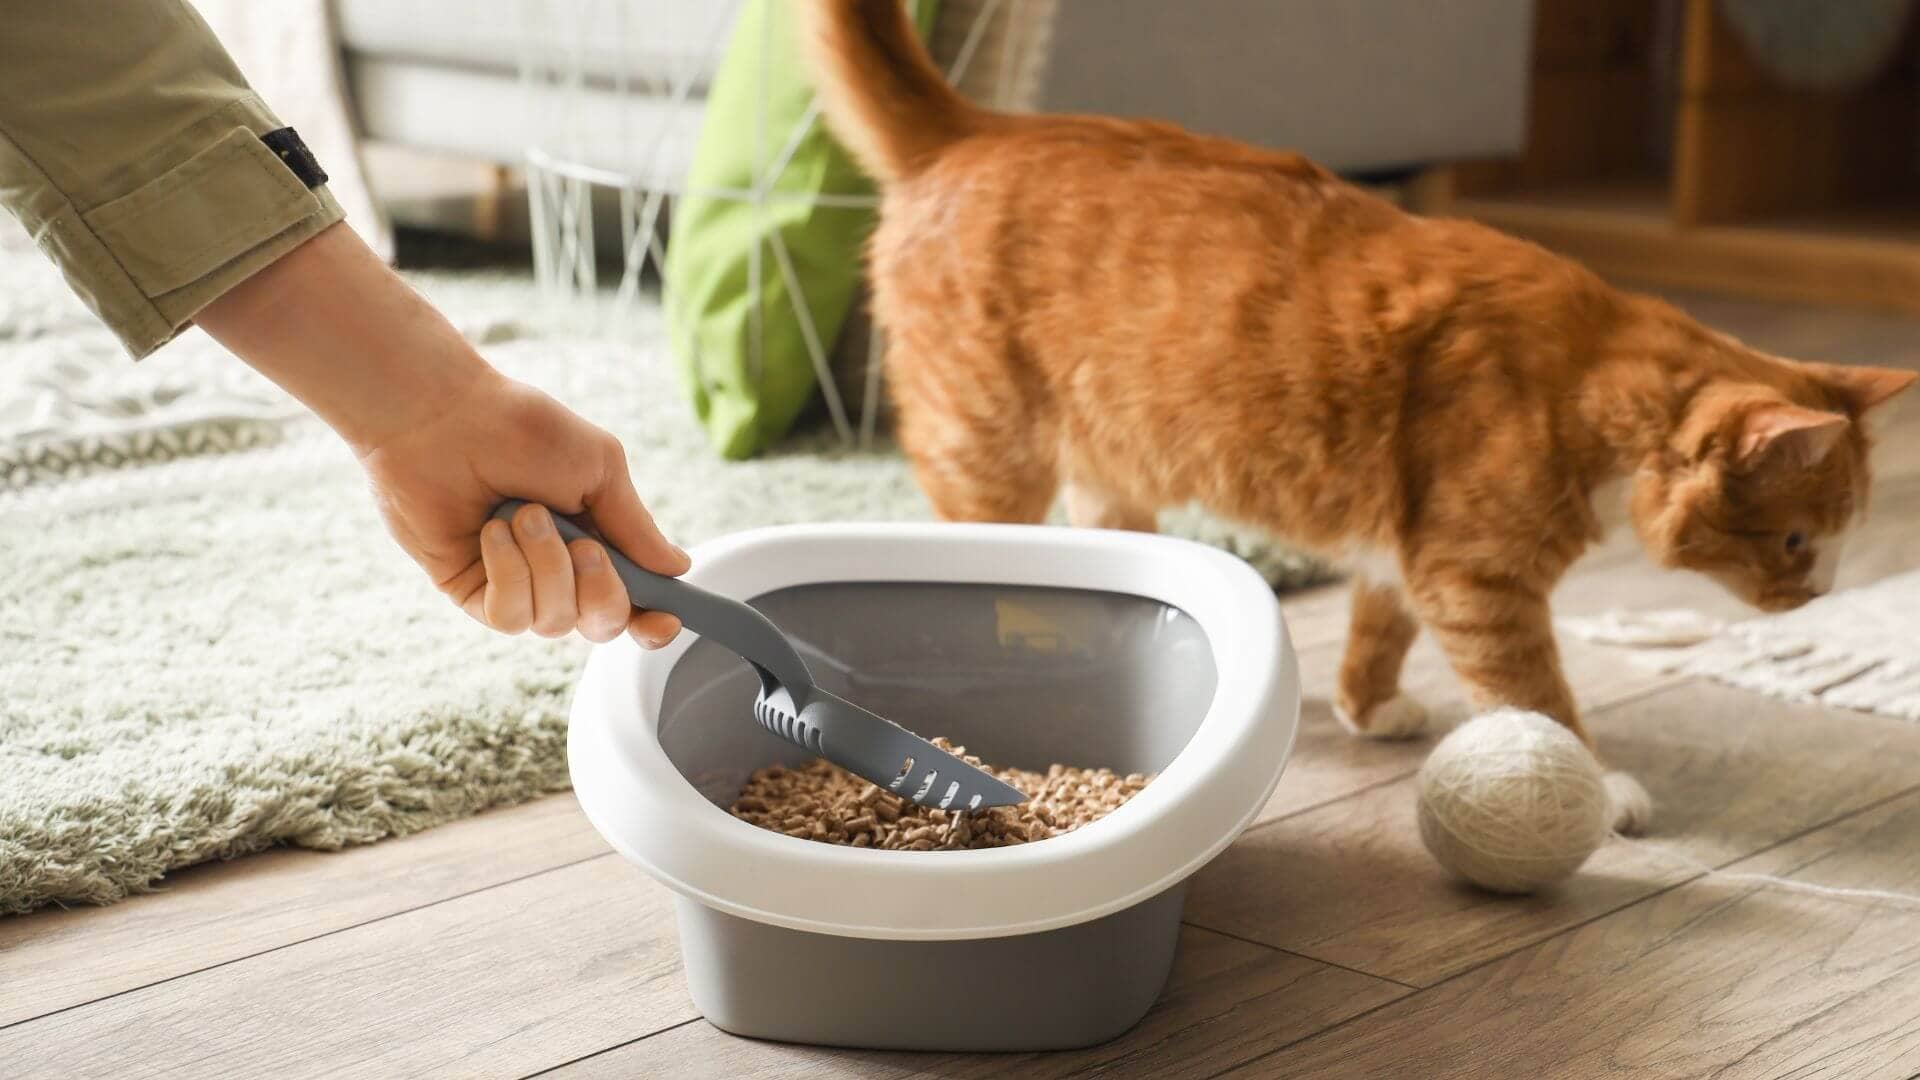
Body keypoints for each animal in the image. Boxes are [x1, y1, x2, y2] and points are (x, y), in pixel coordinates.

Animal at [794, 0, 1904, 826]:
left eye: (1838, 540)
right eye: (1798, 540)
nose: (1820, 596)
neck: (1587, 378)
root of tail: (979, 127)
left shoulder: (1408, 553)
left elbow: (1380, 630)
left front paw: (1371, 709)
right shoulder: (1480, 580)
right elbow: (1539, 698)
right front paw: (1601, 788)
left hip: (1113, 473)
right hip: (987, 447)